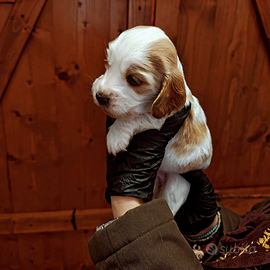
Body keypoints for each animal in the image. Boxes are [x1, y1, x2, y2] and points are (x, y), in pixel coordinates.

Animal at [92, 25, 212, 215]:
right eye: (108, 65)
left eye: (134, 80)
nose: (100, 96)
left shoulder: (163, 116)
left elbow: (136, 116)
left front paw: (115, 136)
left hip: (176, 184)